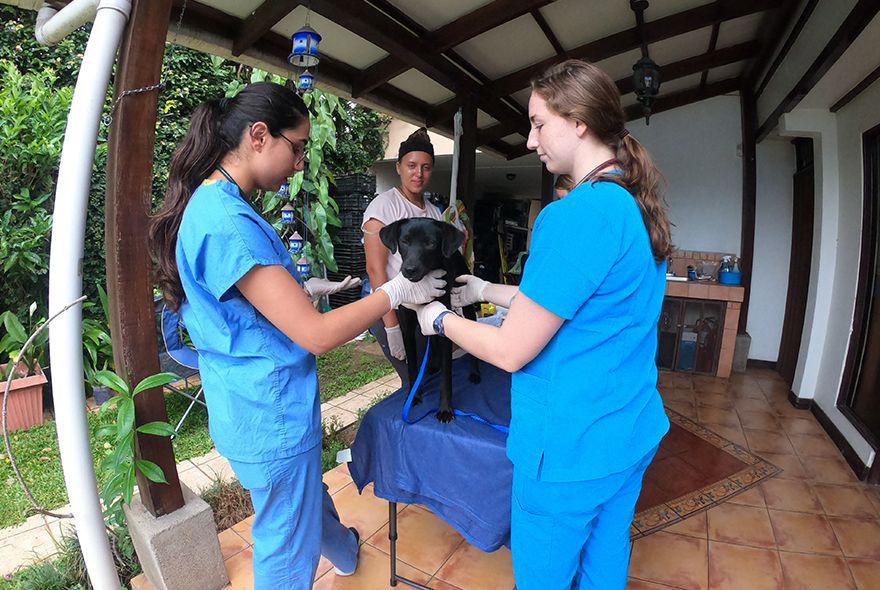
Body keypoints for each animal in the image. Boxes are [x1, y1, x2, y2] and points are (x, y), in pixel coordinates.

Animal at [378, 220, 482, 424]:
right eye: (404, 241)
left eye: (430, 243)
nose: (409, 269)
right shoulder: (407, 329)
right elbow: (412, 367)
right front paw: (413, 395)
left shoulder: (445, 324)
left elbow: (447, 376)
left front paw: (445, 408)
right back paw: (433, 364)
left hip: (466, 303)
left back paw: (474, 372)